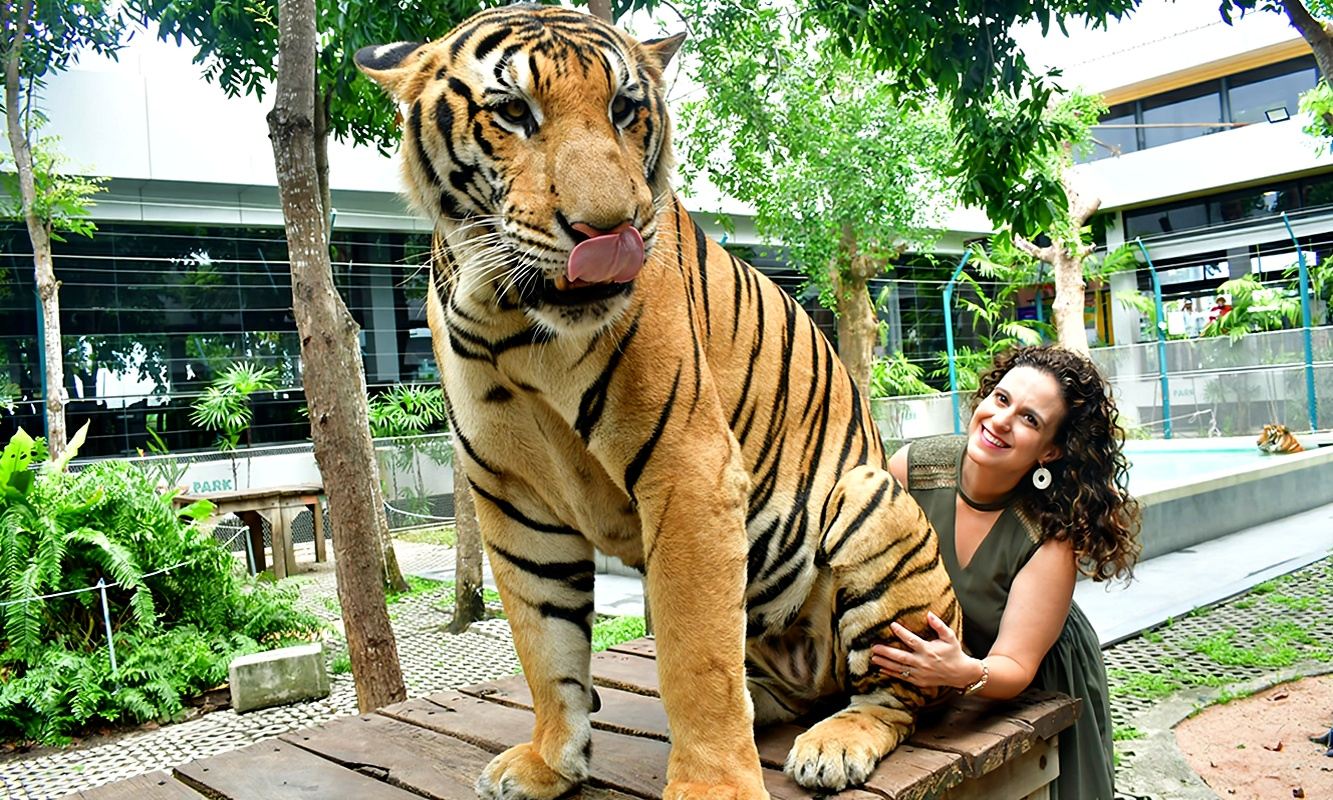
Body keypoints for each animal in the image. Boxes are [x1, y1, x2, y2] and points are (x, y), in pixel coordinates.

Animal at [355, 6, 958, 798]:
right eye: (513, 111)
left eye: (624, 108)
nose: (607, 229)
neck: (508, 319)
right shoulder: (513, 496)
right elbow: (543, 642)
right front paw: (550, 759)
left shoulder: (688, 470)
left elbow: (692, 654)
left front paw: (711, 786)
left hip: (871, 504)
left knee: (899, 692)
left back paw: (836, 742)